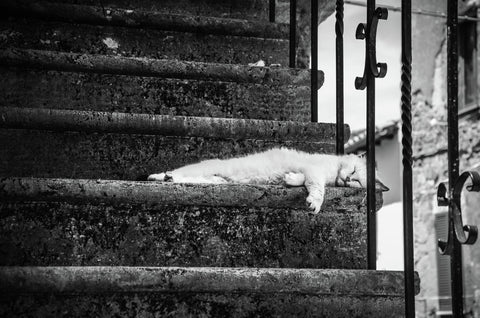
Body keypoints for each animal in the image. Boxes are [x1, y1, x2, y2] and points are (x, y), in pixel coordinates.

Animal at [148, 147, 388, 214]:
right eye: (354, 171)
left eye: (357, 182)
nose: (347, 179)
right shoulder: (315, 170)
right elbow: (317, 187)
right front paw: (315, 203)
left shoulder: (310, 171)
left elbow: (301, 180)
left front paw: (289, 179)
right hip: (210, 168)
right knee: (180, 172)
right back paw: (160, 176)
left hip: (216, 180)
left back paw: (169, 178)